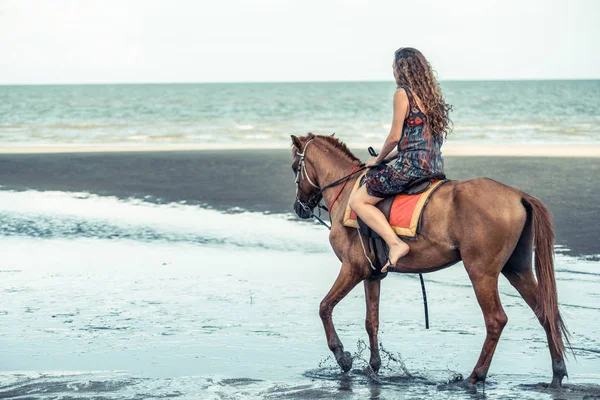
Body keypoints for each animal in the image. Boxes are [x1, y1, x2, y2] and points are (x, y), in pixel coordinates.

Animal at [290, 133, 572, 390]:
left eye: (295, 167)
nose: (298, 207)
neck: (347, 191)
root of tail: (518, 195)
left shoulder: (353, 268)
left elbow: (325, 307)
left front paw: (343, 357)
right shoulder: (372, 274)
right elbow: (372, 322)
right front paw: (374, 367)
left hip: (481, 271)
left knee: (496, 320)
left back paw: (475, 376)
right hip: (517, 268)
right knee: (545, 312)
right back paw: (557, 375)